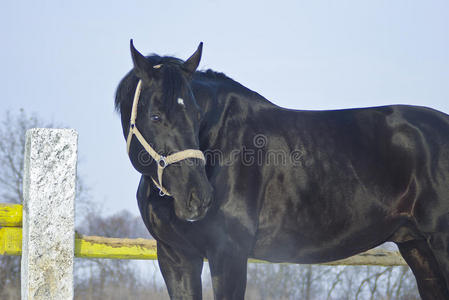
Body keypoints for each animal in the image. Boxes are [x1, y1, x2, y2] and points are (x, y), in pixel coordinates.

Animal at [115, 41, 448, 298]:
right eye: (155, 116)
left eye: (197, 113)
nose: (198, 197)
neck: (221, 143)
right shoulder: (176, 257)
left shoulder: (228, 254)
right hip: (417, 247)